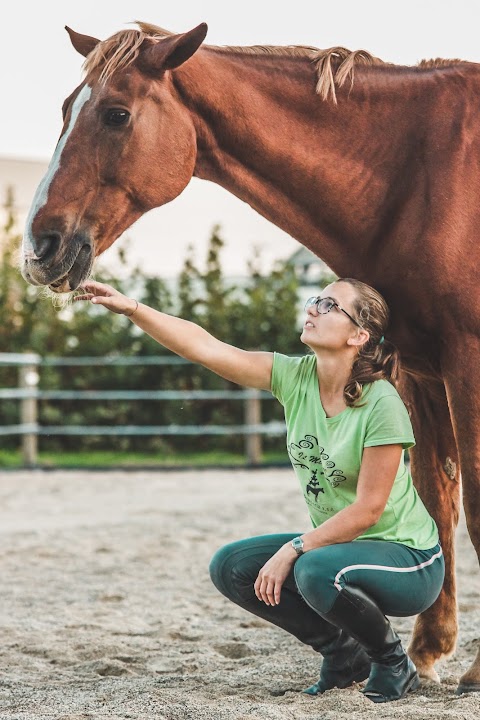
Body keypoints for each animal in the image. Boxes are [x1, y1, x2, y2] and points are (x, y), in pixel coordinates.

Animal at [19, 22, 480, 696]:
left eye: (116, 114)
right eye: (63, 110)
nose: (39, 248)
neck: (423, 172)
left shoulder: (466, 363)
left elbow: (474, 503)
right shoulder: (419, 371)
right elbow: (436, 499)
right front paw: (427, 651)